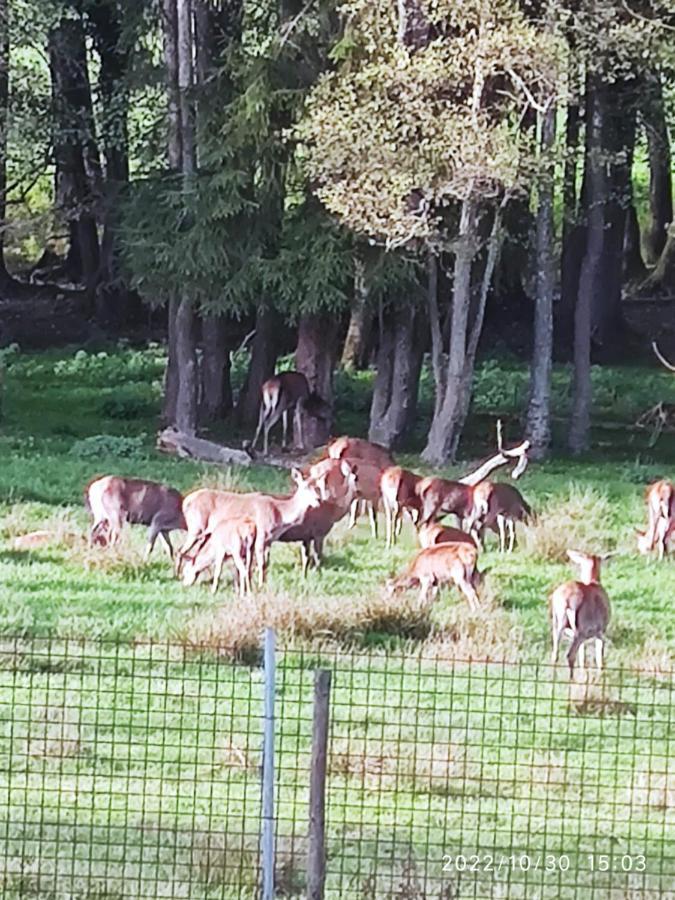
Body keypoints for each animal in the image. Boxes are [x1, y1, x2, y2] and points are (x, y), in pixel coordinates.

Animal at [180, 468, 322, 588]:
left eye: (316, 487)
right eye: (305, 487)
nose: (318, 500)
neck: (279, 516)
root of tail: (186, 501)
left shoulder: (268, 541)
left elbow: (260, 564)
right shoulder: (260, 536)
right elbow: (261, 563)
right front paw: (260, 585)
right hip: (196, 528)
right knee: (181, 550)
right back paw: (177, 575)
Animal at [548, 552, 612, 680]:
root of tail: (567, 598)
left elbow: (582, 657)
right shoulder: (600, 633)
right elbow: (599, 658)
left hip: (558, 628)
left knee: (555, 655)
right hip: (579, 634)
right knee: (570, 655)